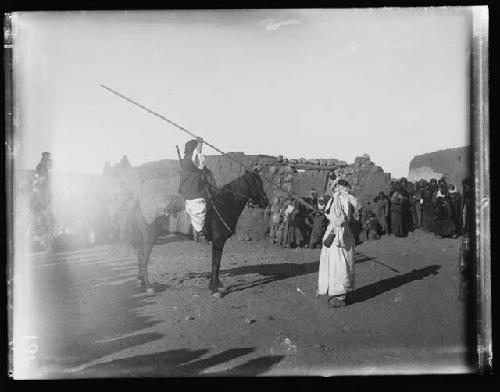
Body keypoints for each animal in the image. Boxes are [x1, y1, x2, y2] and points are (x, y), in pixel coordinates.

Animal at [130, 170, 270, 296]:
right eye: (257, 184)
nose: (265, 201)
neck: (223, 204)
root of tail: (139, 203)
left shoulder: (219, 243)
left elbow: (217, 263)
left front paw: (217, 286)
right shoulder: (218, 242)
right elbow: (215, 264)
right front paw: (214, 289)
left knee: (140, 256)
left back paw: (143, 283)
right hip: (149, 237)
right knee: (143, 258)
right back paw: (148, 287)